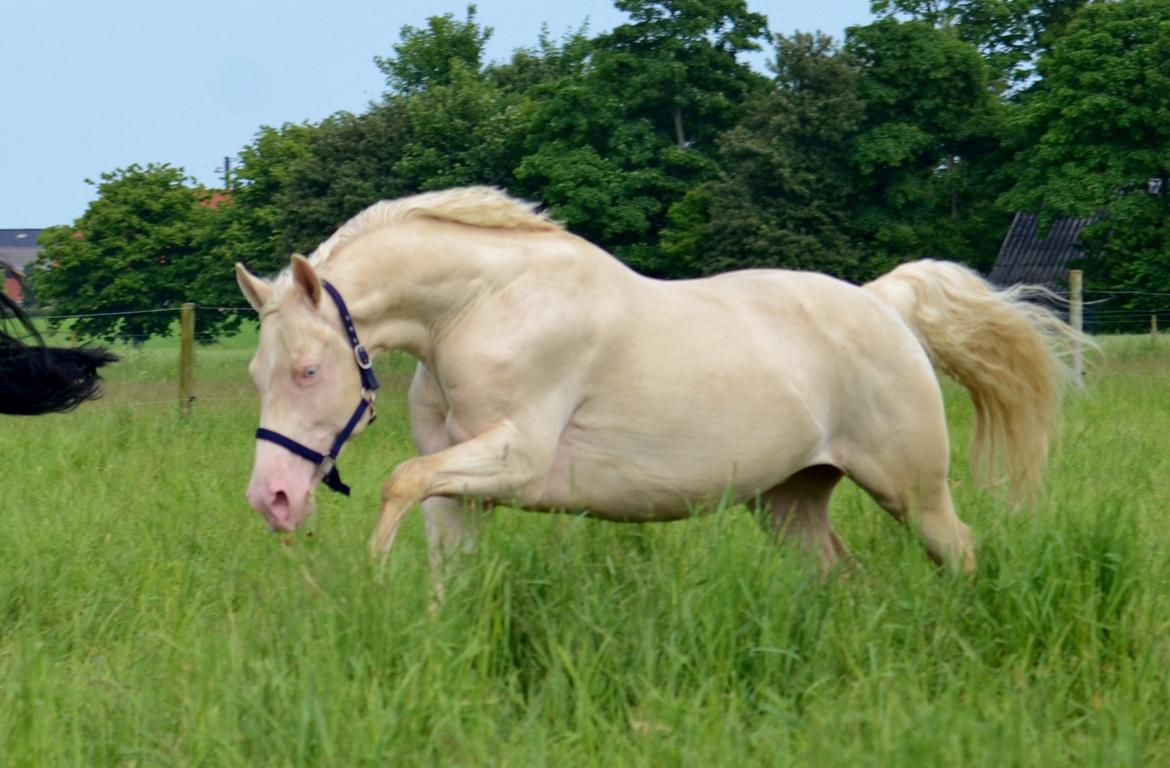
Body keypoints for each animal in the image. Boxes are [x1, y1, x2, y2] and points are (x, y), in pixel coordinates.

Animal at [235, 186, 1076, 573]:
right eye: (255, 371)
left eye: (308, 370)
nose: (272, 500)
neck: (479, 309)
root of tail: (882, 304)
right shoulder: (461, 489)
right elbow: (443, 554)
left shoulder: (517, 461)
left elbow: (396, 484)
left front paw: (374, 575)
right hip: (790, 501)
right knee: (839, 572)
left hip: (911, 490)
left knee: (959, 549)